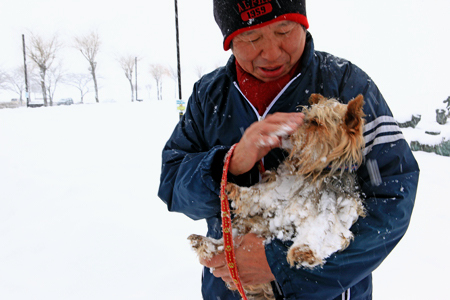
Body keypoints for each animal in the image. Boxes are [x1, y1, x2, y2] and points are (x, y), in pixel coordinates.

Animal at [186, 94, 366, 300]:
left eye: (315, 122)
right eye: (303, 118)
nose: (288, 133)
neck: (314, 172)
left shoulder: (331, 208)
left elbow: (321, 228)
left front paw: (304, 251)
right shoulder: (278, 188)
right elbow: (259, 195)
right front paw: (235, 188)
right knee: (226, 242)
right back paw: (204, 242)